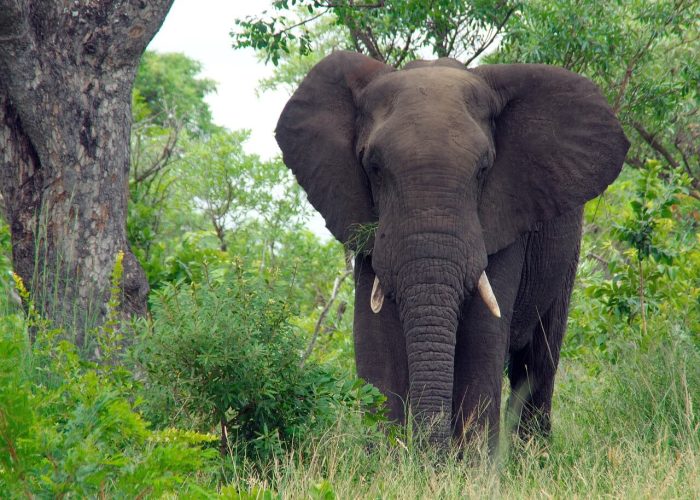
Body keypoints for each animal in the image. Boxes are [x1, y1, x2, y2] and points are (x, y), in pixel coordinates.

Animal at [275, 51, 629, 448]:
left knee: (539, 358)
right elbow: (376, 340)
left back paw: (532, 455)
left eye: (484, 169)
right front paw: (388, 461)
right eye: (374, 168)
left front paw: (472, 464)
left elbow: (481, 337)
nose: (428, 454)